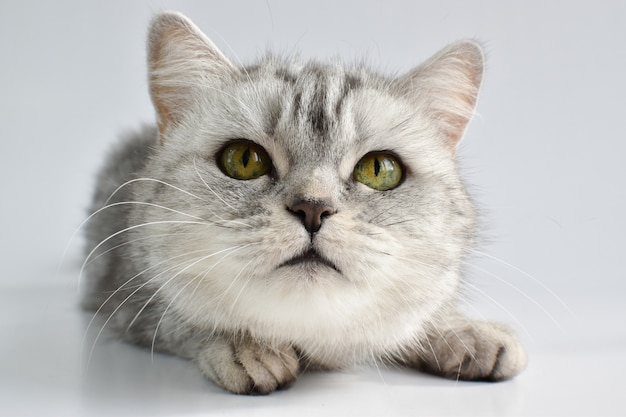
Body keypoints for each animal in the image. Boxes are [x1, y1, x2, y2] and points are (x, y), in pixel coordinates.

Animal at [80, 10, 524, 394]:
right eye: (244, 159)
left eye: (379, 169)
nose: (313, 208)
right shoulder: (127, 292)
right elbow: (178, 319)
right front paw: (243, 346)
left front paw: (463, 331)